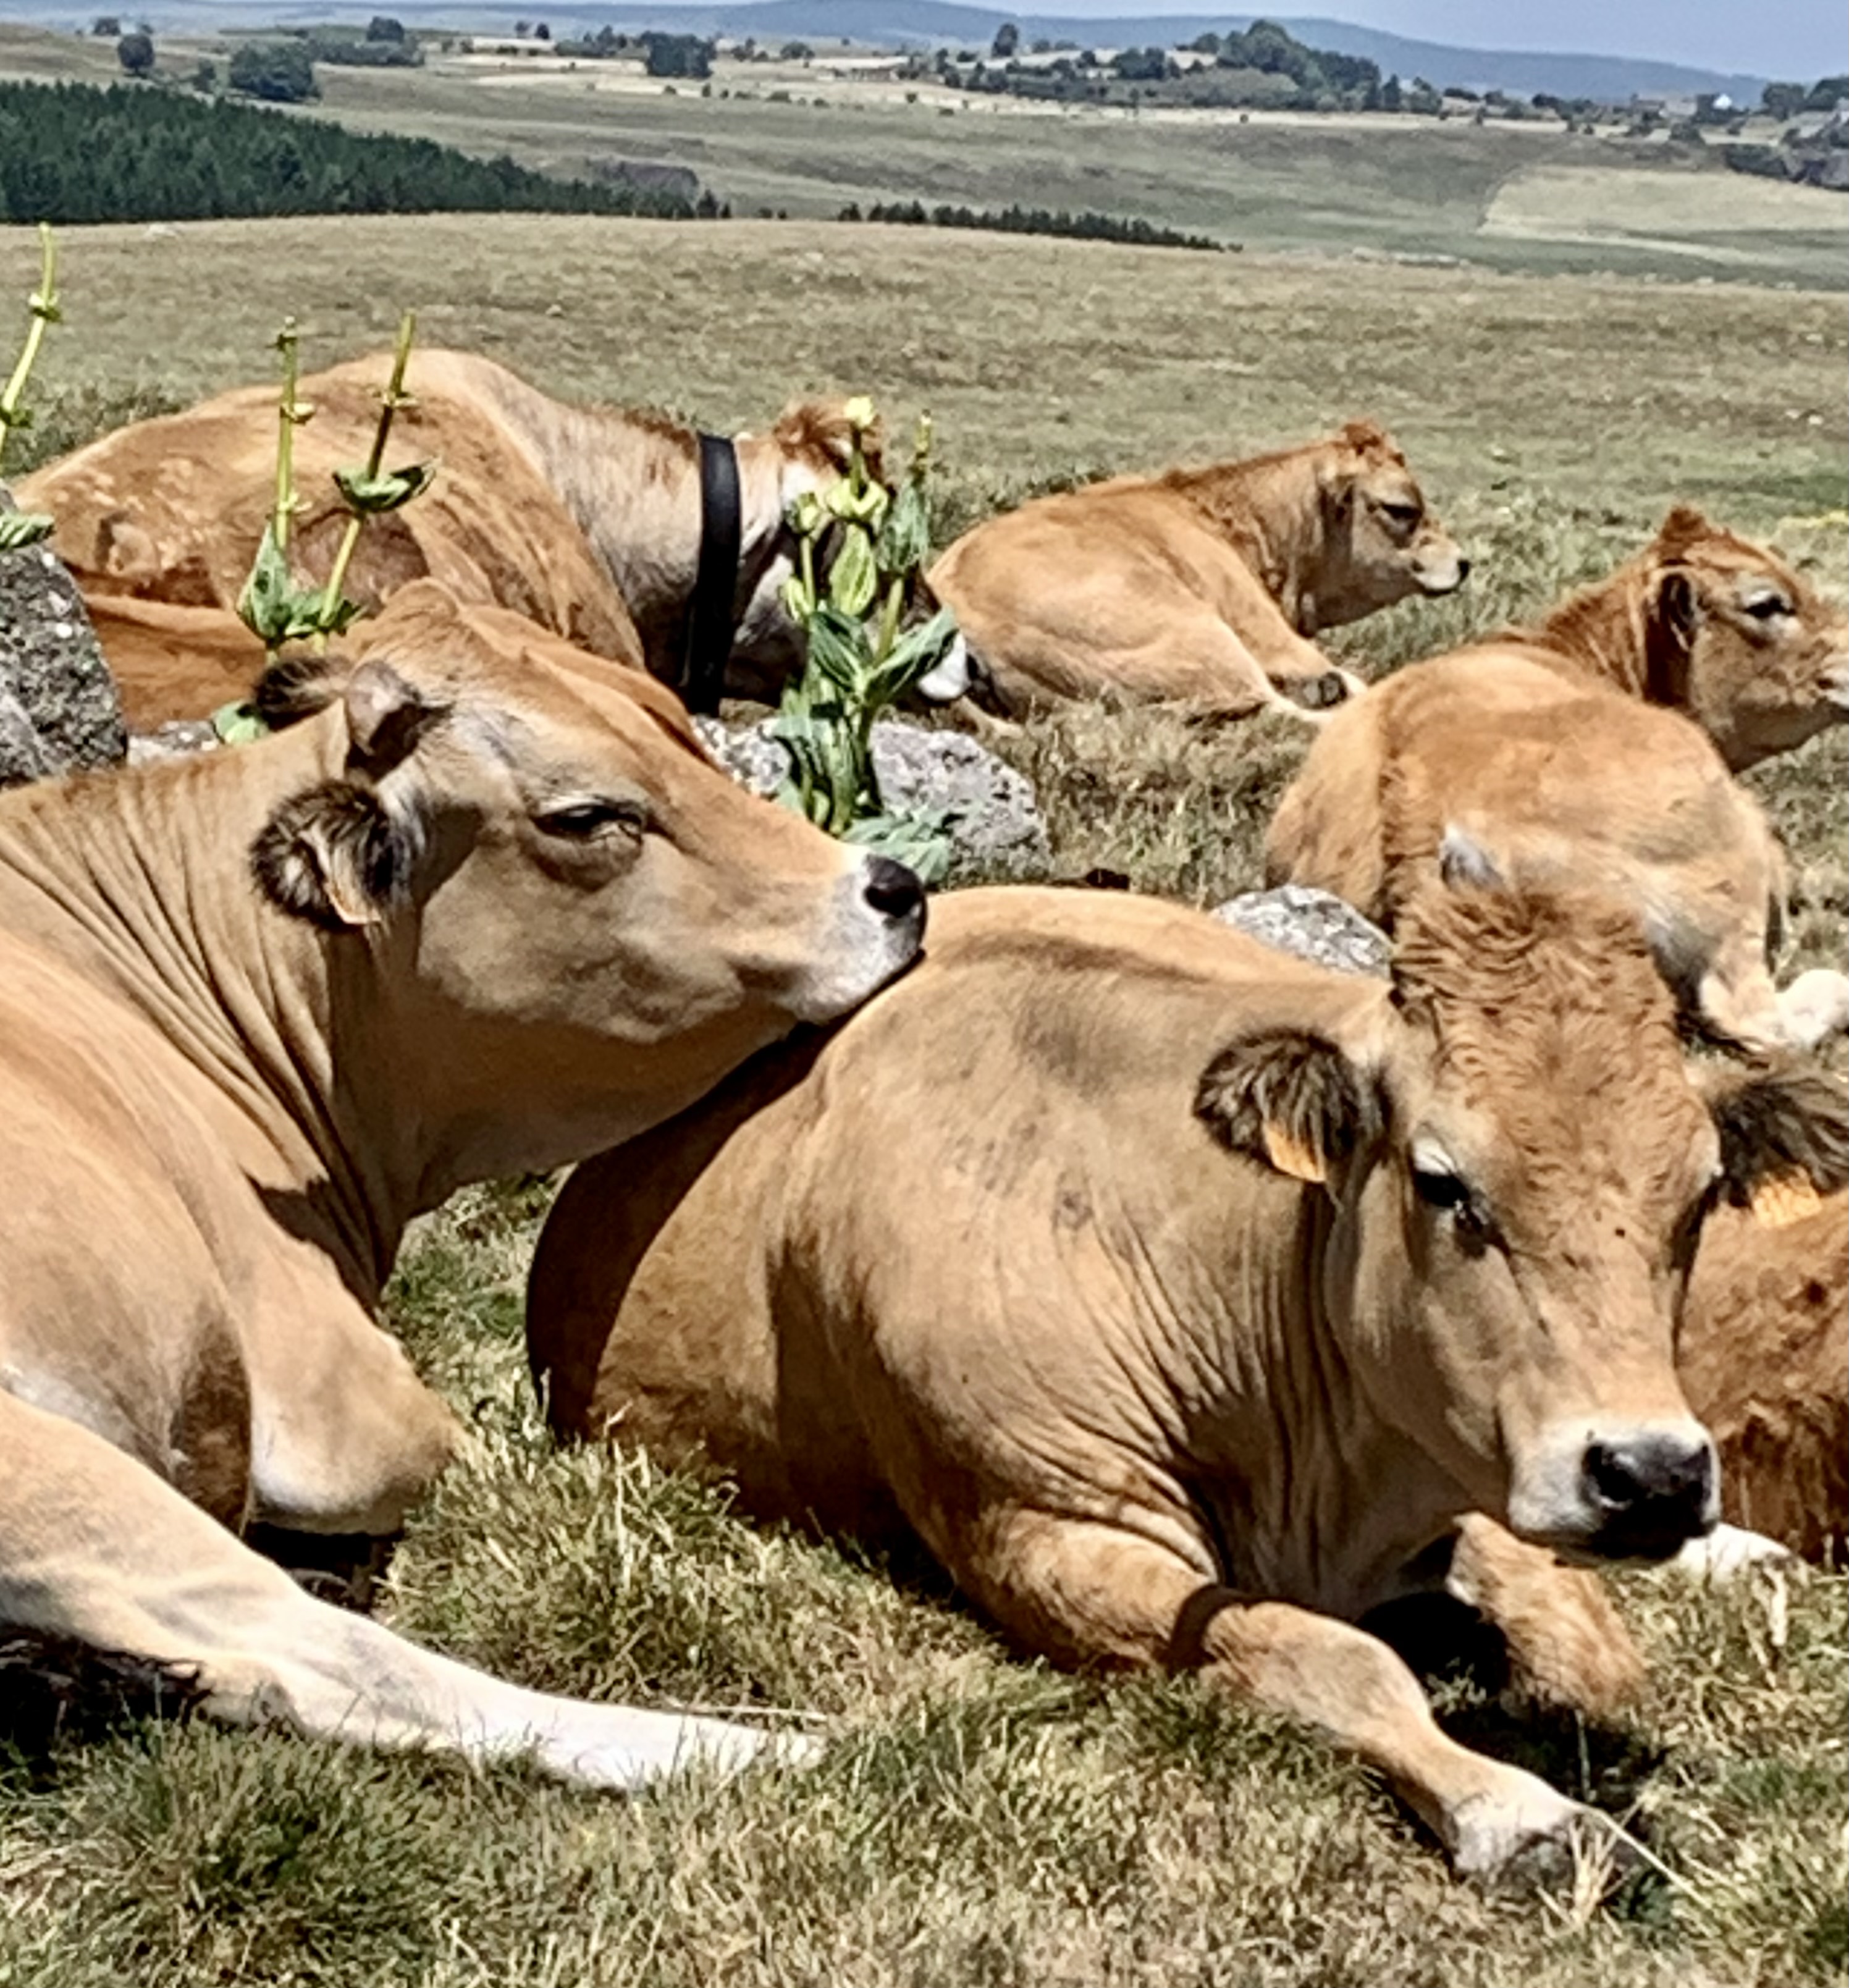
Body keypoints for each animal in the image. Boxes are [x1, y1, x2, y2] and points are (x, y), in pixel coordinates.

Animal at [0, 580, 925, 1787]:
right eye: (587, 814)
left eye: (676, 727)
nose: (894, 888)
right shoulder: (338, 1401)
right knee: (322, 1660)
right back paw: (753, 1748)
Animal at [524, 880, 1847, 1880]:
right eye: (1442, 1182)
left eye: (1700, 1190)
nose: (1650, 1472)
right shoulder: (1050, 1529)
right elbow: (1331, 1657)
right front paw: (1519, 1810)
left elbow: (1585, 1641)